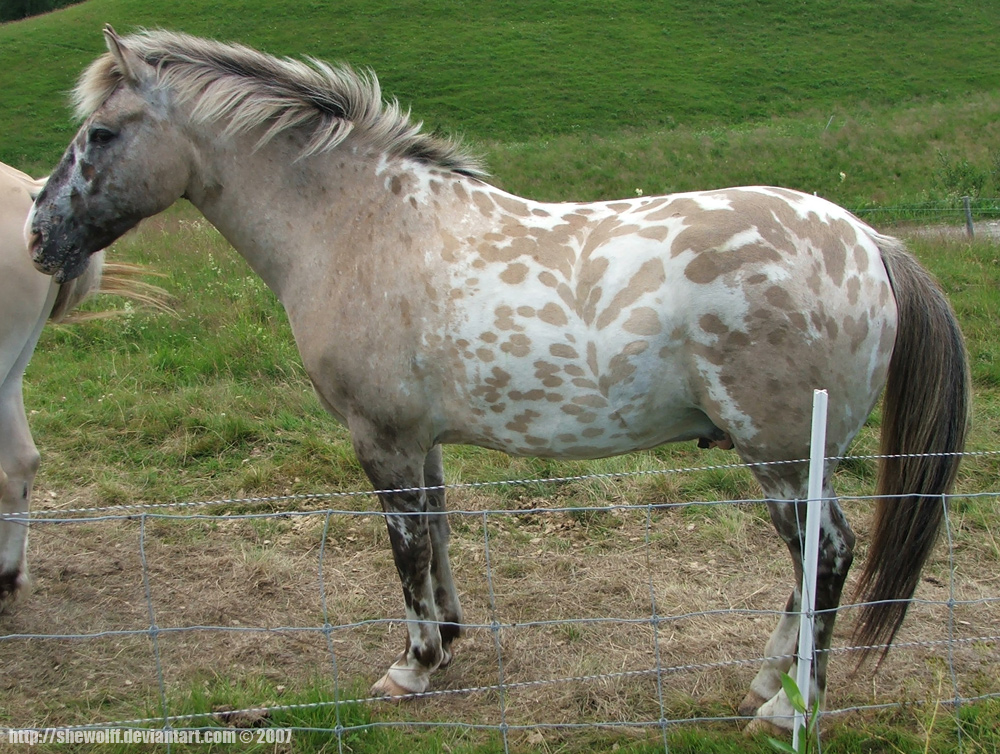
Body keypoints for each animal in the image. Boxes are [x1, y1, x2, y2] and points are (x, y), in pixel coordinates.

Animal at [27, 27, 968, 728]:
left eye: (100, 134)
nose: (39, 234)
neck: (358, 226)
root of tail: (871, 243)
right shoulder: (419, 439)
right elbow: (437, 531)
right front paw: (448, 637)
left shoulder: (380, 439)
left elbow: (405, 544)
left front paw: (412, 668)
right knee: (810, 572)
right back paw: (768, 684)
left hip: (779, 457)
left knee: (828, 557)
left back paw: (789, 709)